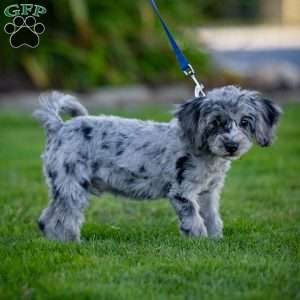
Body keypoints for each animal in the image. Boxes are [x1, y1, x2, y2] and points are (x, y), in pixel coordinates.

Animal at [35, 85, 282, 240]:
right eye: (215, 123)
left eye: (244, 122)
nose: (232, 145)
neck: (205, 154)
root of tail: (59, 126)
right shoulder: (182, 192)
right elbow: (194, 221)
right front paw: (201, 243)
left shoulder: (208, 193)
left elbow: (212, 219)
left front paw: (216, 241)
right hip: (72, 187)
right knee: (64, 220)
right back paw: (73, 243)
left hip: (64, 187)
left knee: (47, 218)